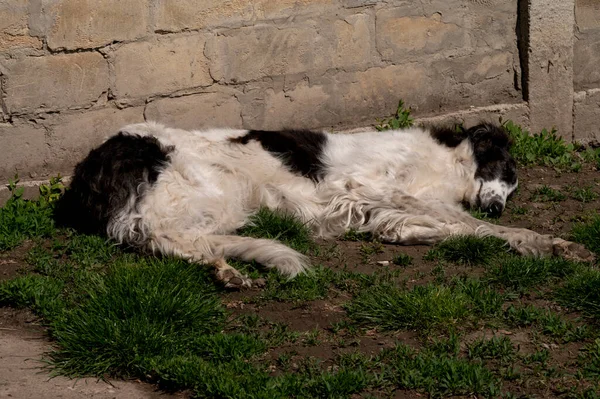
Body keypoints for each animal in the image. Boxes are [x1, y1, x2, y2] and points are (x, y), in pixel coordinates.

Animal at [55, 122, 592, 288]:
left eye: (512, 186)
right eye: (502, 170)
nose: (498, 206)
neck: (450, 163)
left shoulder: (383, 208)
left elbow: (443, 228)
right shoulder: (369, 187)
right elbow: (478, 228)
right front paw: (551, 244)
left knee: (176, 242)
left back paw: (227, 268)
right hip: (206, 193)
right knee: (160, 236)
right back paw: (233, 266)